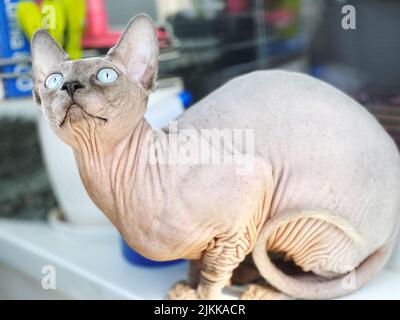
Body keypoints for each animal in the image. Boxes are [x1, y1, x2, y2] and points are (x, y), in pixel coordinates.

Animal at [32, 14, 400, 300]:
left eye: (106, 75)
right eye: (53, 80)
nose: (69, 86)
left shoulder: (251, 190)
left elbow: (215, 267)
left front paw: (202, 293)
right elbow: (197, 260)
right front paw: (186, 285)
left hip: (309, 232)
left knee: (326, 279)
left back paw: (267, 287)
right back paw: (251, 274)